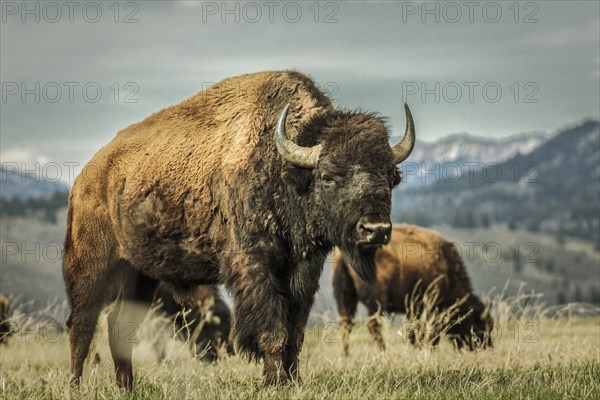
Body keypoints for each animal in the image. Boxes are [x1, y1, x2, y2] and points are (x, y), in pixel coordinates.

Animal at [63, 69, 414, 388]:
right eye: (327, 175)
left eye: (391, 176)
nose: (375, 229)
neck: (284, 168)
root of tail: (86, 178)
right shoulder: (255, 266)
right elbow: (273, 330)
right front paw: (275, 383)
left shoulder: (302, 272)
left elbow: (295, 332)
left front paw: (294, 382)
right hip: (91, 268)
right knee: (82, 326)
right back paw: (76, 386)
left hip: (141, 275)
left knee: (119, 325)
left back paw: (126, 386)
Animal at [332, 223, 492, 354]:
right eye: (478, 322)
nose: (486, 346)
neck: (447, 270)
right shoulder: (429, 305)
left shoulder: (415, 306)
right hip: (376, 302)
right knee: (373, 325)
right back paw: (384, 352)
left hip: (346, 297)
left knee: (346, 323)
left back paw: (345, 355)